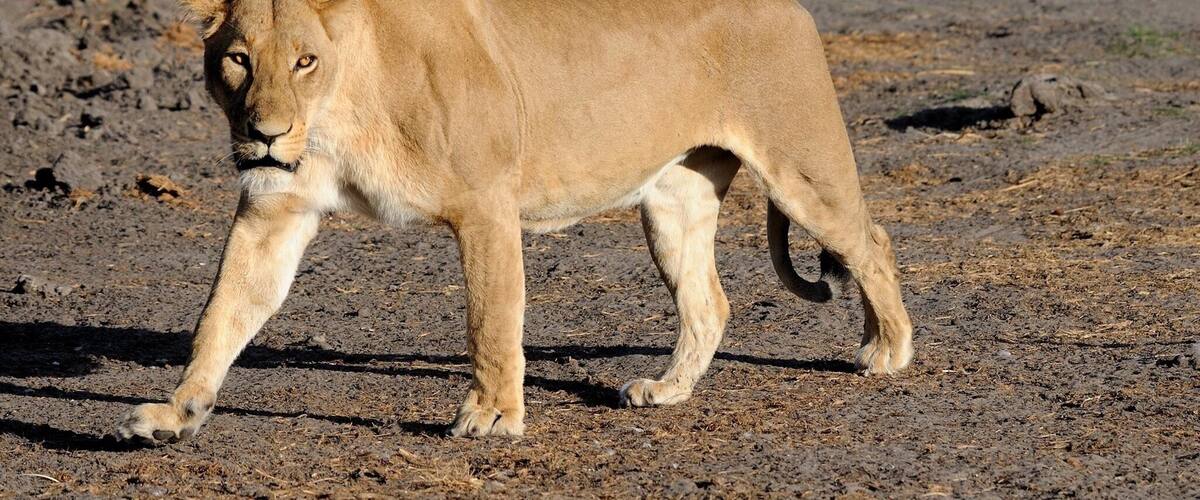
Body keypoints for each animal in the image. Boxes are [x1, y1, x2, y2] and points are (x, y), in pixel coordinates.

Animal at [116, 0, 914, 443]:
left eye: (306, 60)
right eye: (238, 60)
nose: (266, 134)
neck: (339, 106)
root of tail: (792, 7)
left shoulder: (485, 205)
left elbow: (491, 322)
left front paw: (494, 418)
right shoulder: (274, 208)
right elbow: (223, 313)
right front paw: (177, 413)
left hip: (801, 165)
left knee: (870, 241)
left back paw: (887, 349)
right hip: (673, 198)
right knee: (709, 302)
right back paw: (668, 390)